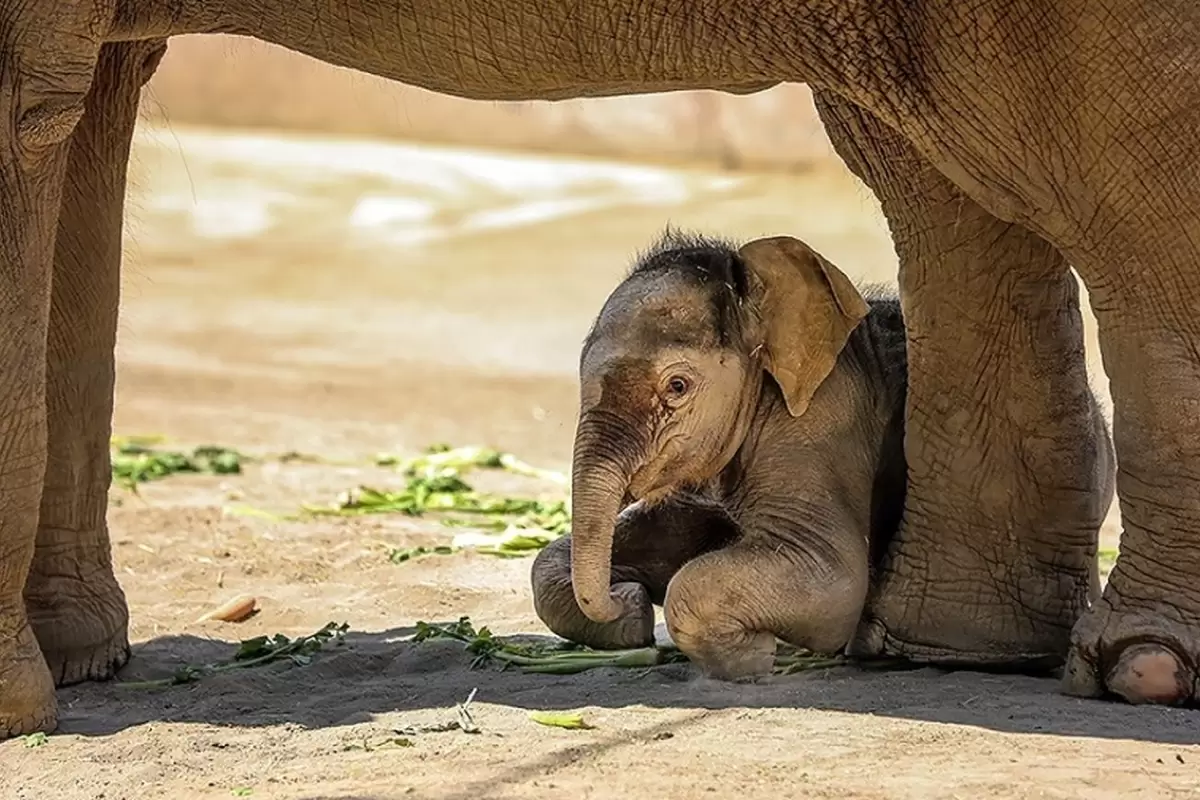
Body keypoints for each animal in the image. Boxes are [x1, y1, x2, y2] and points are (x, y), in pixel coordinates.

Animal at [530, 227, 902, 681]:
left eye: (677, 386)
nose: (621, 593)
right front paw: (633, 616)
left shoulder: (821, 430)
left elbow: (835, 578)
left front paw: (754, 655)